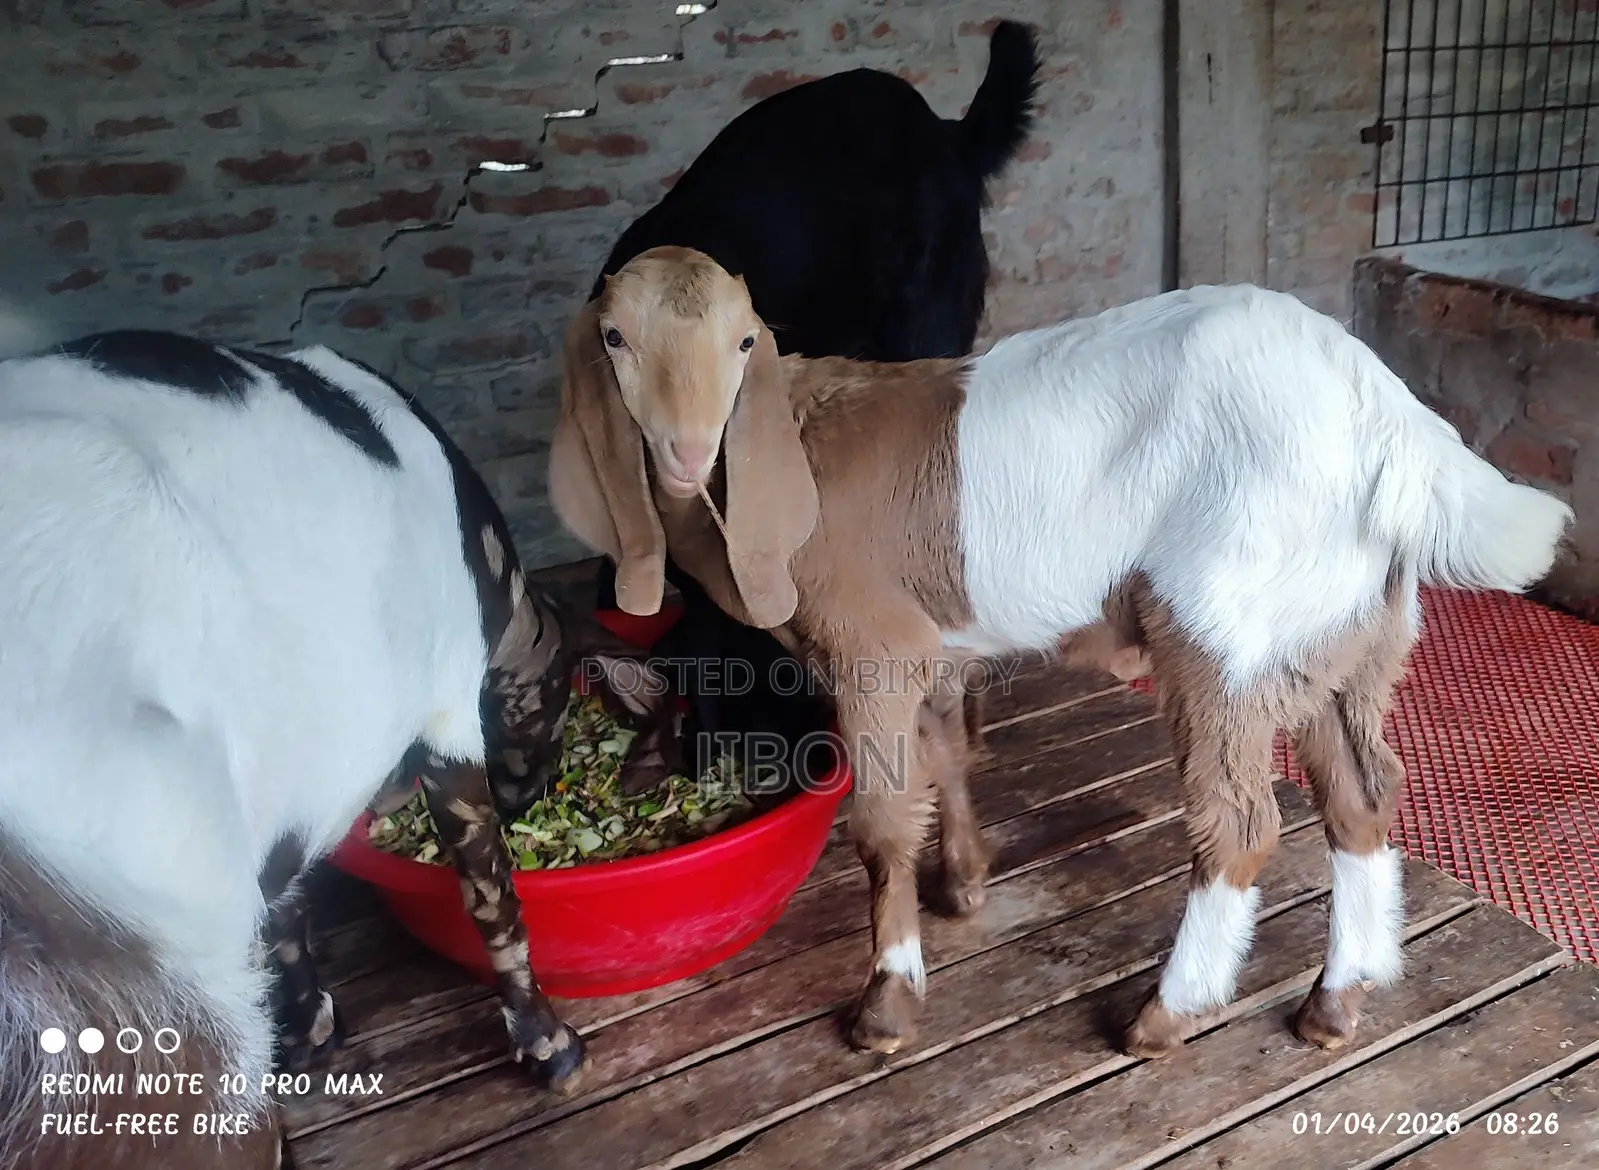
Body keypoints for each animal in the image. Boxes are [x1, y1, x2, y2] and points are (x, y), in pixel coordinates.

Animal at [0, 330, 678, 1170]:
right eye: (555, 704)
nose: (529, 801)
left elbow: (288, 908)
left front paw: (312, 1027)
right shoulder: (447, 704)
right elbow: (491, 896)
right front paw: (551, 1048)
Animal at [547, 247, 1574, 1060]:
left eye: (742, 344)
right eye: (615, 339)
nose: (685, 452)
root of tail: (1387, 419)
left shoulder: (872, 645)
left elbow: (879, 821)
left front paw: (887, 1001)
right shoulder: (932, 643)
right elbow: (944, 753)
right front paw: (962, 880)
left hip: (1227, 622)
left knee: (1238, 825)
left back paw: (1167, 1014)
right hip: (1342, 631)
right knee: (1362, 795)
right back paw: (1338, 997)